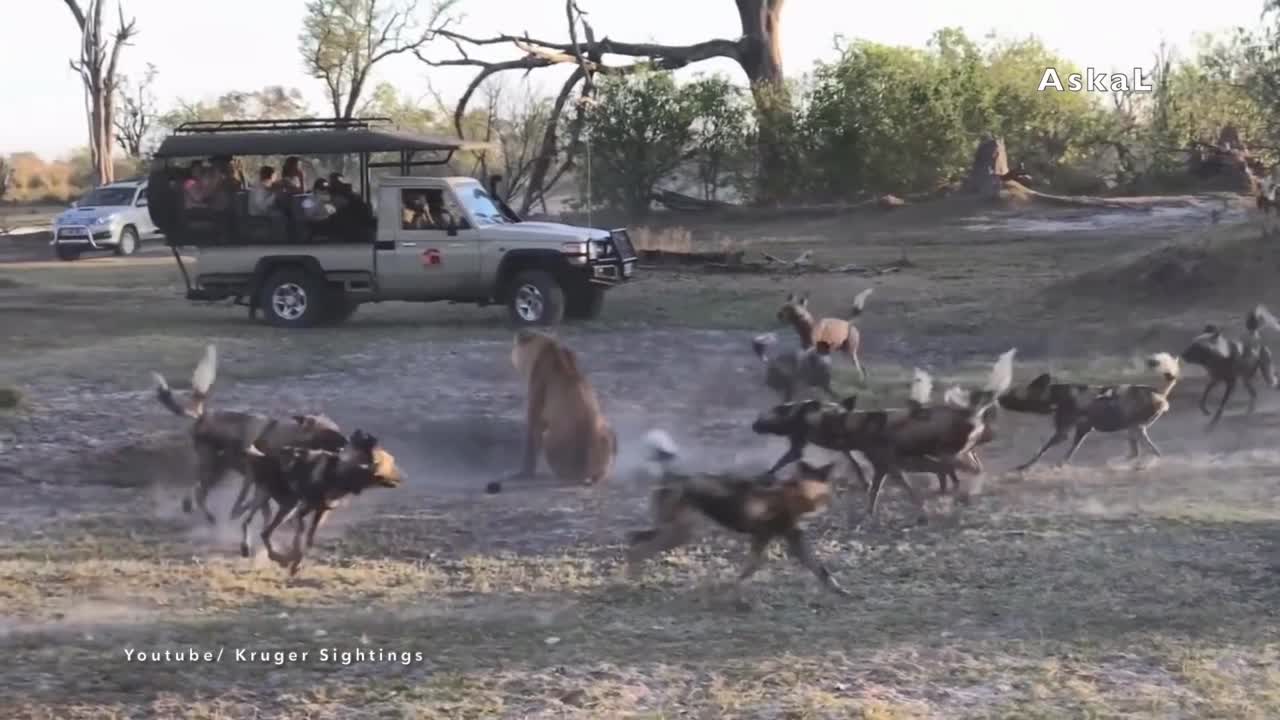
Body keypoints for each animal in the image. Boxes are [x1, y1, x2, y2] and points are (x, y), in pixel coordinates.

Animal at [485, 329, 617, 494]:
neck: (548, 347)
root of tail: (585, 472)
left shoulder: (538, 384)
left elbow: (532, 430)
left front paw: (522, 473)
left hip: (553, 441)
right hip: (606, 436)